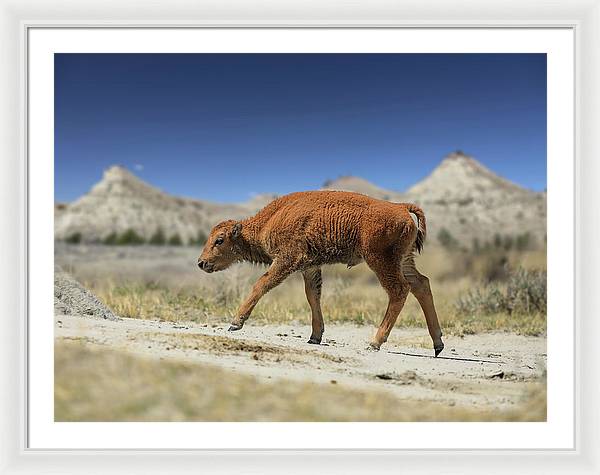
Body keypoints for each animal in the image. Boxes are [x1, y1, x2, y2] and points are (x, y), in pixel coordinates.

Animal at [198, 192, 446, 356]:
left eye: (219, 240)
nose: (201, 263)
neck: (269, 220)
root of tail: (401, 207)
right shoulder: (309, 267)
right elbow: (313, 297)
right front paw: (315, 337)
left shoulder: (287, 260)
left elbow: (262, 284)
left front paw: (235, 323)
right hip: (404, 260)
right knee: (421, 285)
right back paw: (437, 344)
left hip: (380, 261)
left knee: (399, 290)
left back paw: (375, 342)